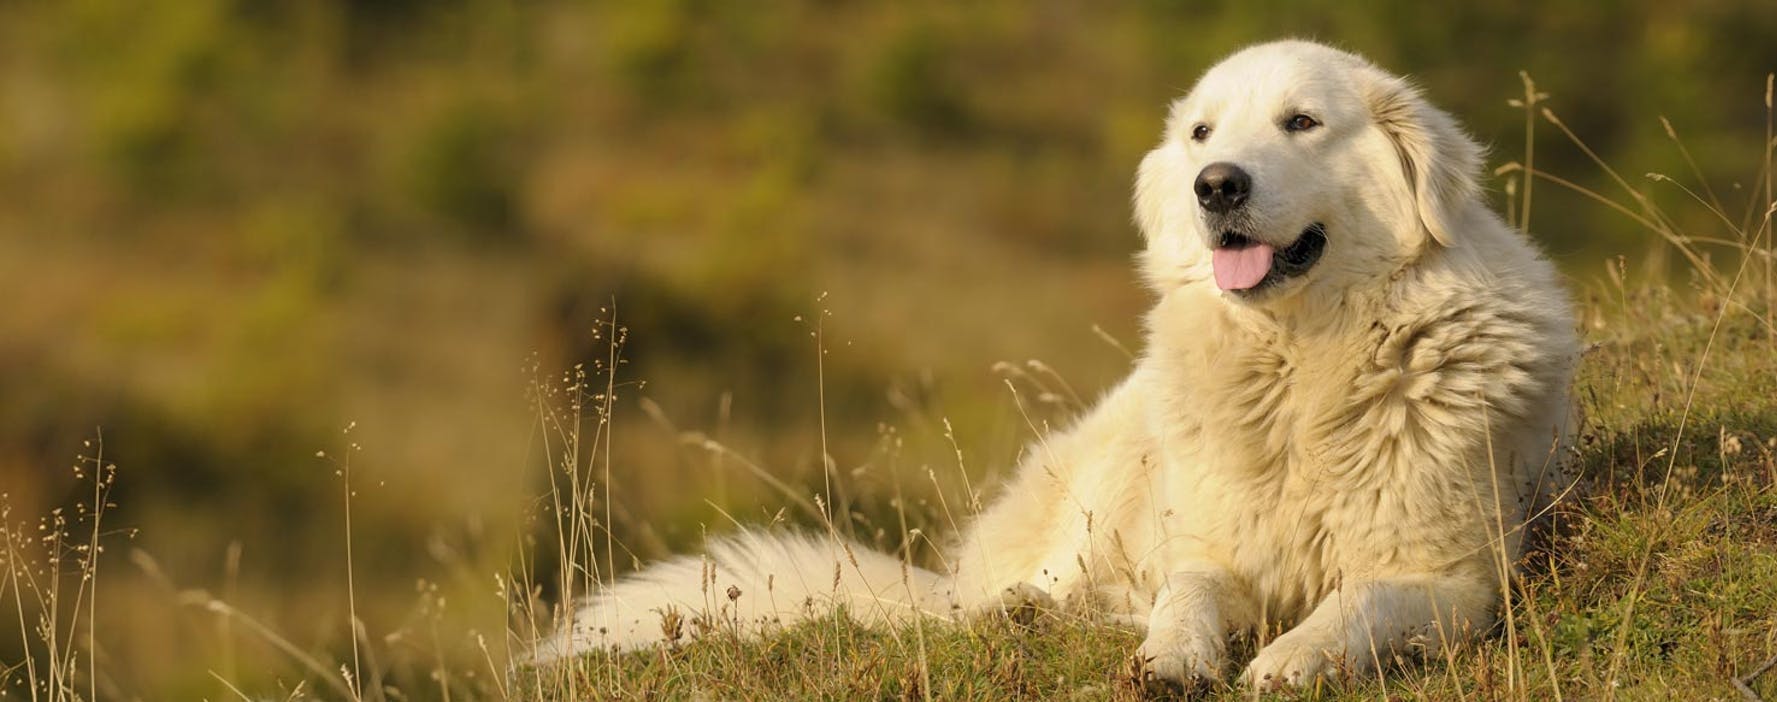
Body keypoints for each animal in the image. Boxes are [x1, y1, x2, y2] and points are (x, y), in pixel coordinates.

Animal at [533, 39, 1577, 693]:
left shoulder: (1451, 579)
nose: (1214, 186)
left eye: (1301, 122)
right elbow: (1186, 597)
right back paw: (1032, 616)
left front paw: (1289, 658)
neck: (1297, 366)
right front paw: (1172, 658)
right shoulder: (1207, 549)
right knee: (1042, 595)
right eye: (1201, 134)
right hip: (1113, 470)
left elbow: (1355, 607)